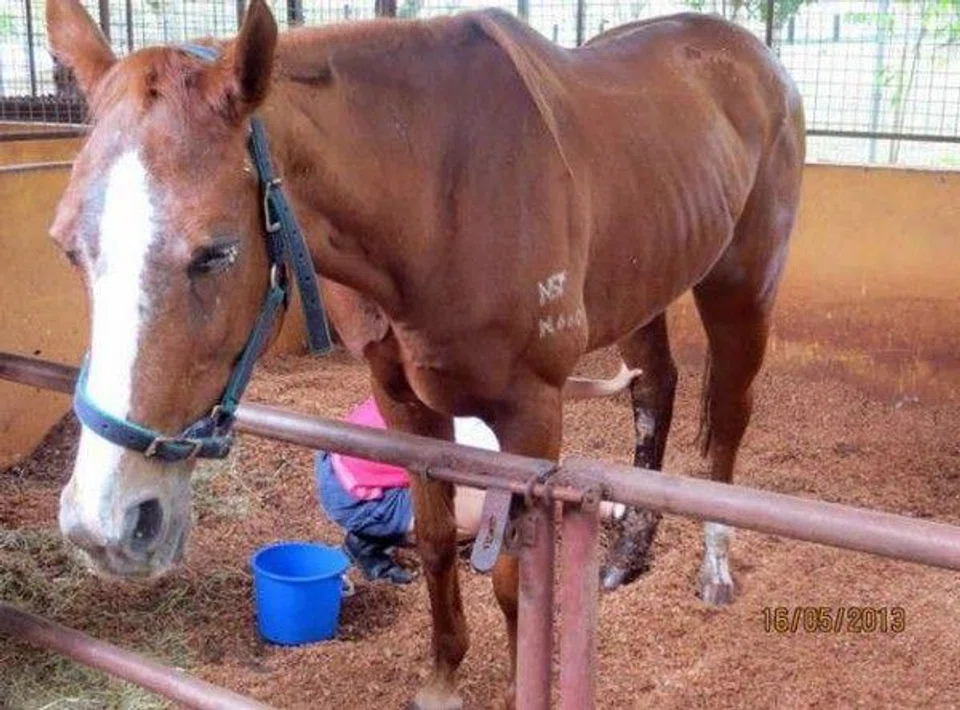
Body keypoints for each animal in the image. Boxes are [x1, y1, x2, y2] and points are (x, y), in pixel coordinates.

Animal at [46, 0, 804, 707]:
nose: (104, 524)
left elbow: (513, 577)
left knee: (728, 418)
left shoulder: (532, 415)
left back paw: (714, 569)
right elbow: (436, 542)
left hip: (742, 287)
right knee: (654, 394)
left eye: (216, 252)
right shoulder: (402, 402)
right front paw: (442, 680)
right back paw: (626, 556)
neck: (435, 192)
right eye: (67, 247)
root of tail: (760, 63)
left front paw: (516, 686)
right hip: (646, 288)